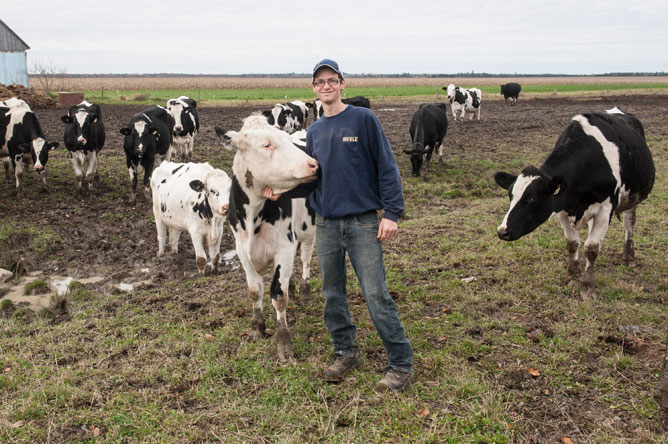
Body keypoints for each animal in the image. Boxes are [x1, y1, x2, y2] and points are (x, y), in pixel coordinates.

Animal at [214, 113, 318, 360]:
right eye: (266, 144)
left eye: (286, 140)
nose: (313, 164)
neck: (253, 215)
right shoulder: (242, 251)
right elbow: (255, 291)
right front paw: (257, 329)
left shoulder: (285, 247)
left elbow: (279, 296)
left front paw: (284, 342)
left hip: (308, 229)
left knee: (306, 258)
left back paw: (304, 292)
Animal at [494, 108, 656, 300]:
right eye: (510, 195)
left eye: (532, 198)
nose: (502, 231)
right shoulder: (562, 208)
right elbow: (572, 244)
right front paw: (573, 276)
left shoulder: (605, 209)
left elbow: (592, 248)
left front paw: (587, 287)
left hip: (633, 198)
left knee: (629, 224)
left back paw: (628, 257)